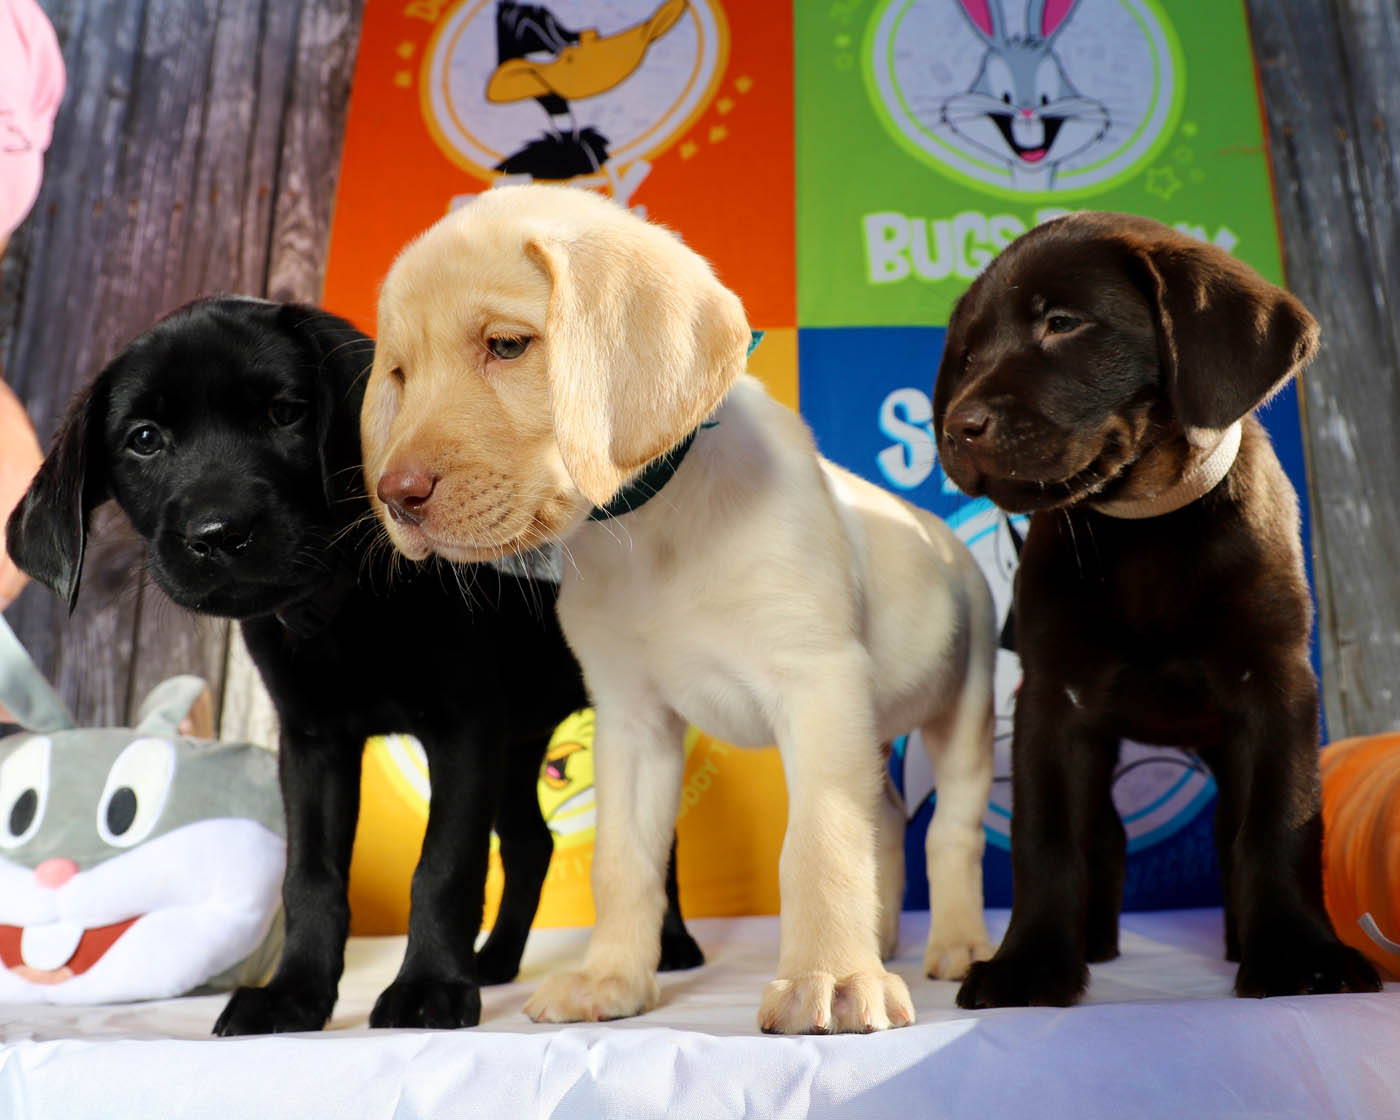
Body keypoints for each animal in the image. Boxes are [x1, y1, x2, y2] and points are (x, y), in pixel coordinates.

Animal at [6, 296, 705, 1030]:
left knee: (652, 843)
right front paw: (295, 993)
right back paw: (497, 959)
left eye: (286, 412)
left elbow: (443, 866)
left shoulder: (464, 729)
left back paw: (671, 946)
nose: (219, 534)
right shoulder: (314, 743)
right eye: (144, 439)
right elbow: (311, 876)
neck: (340, 607)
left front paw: (430, 987)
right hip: (520, 744)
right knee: (531, 843)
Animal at [361, 183, 996, 1030]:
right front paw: (612, 979)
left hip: (966, 704)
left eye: (506, 346)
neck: (648, 529)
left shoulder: (818, 685)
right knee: (888, 813)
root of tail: (946, 536)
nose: (395, 497)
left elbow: (820, 840)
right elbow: (624, 860)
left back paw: (955, 944)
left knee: (950, 832)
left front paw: (828, 977)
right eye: (400, 374)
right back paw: (884, 935)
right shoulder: (632, 720)